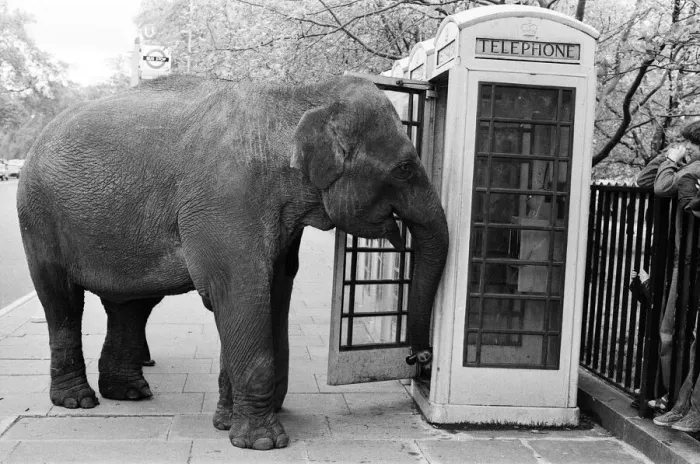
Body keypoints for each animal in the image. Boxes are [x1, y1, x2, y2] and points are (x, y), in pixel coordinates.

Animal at [17, 74, 449, 450]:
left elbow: (271, 291)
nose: (421, 358)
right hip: (37, 217)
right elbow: (240, 292)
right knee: (61, 301)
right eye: (405, 169)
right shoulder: (226, 202)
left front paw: (226, 423)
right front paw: (263, 442)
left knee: (131, 305)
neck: (300, 94)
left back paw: (129, 394)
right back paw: (78, 401)